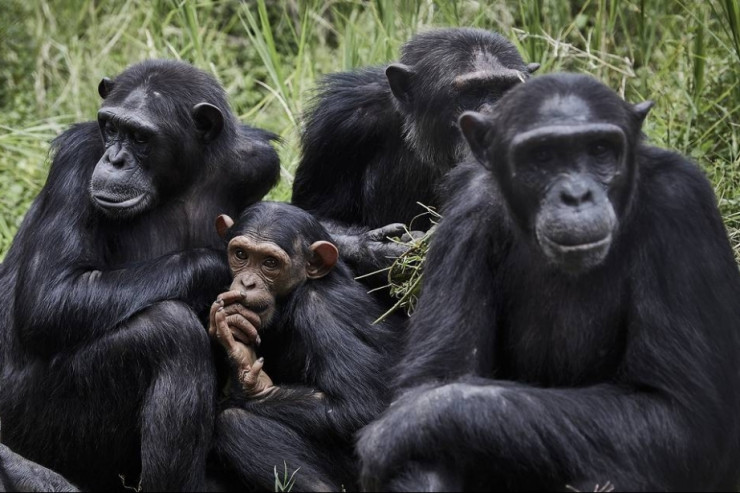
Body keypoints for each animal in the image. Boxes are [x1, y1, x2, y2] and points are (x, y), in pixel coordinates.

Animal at [0, 59, 280, 490]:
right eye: (110, 127)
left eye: (140, 137)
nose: (115, 159)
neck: (181, 179)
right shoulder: (76, 160)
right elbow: (50, 297)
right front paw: (224, 270)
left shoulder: (258, 163)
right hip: (30, 424)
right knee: (170, 332)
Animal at [205, 202, 402, 490]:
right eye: (241, 254)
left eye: (270, 263)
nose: (247, 283)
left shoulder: (320, 312)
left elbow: (360, 406)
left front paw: (251, 379)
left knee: (237, 424)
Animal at [356, 71, 740, 490]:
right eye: (542, 156)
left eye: (600, 150)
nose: (576, 195)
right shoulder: (465, 212)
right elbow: (437, 374)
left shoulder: (681, 204)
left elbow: (675, 415)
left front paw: (404, 422)